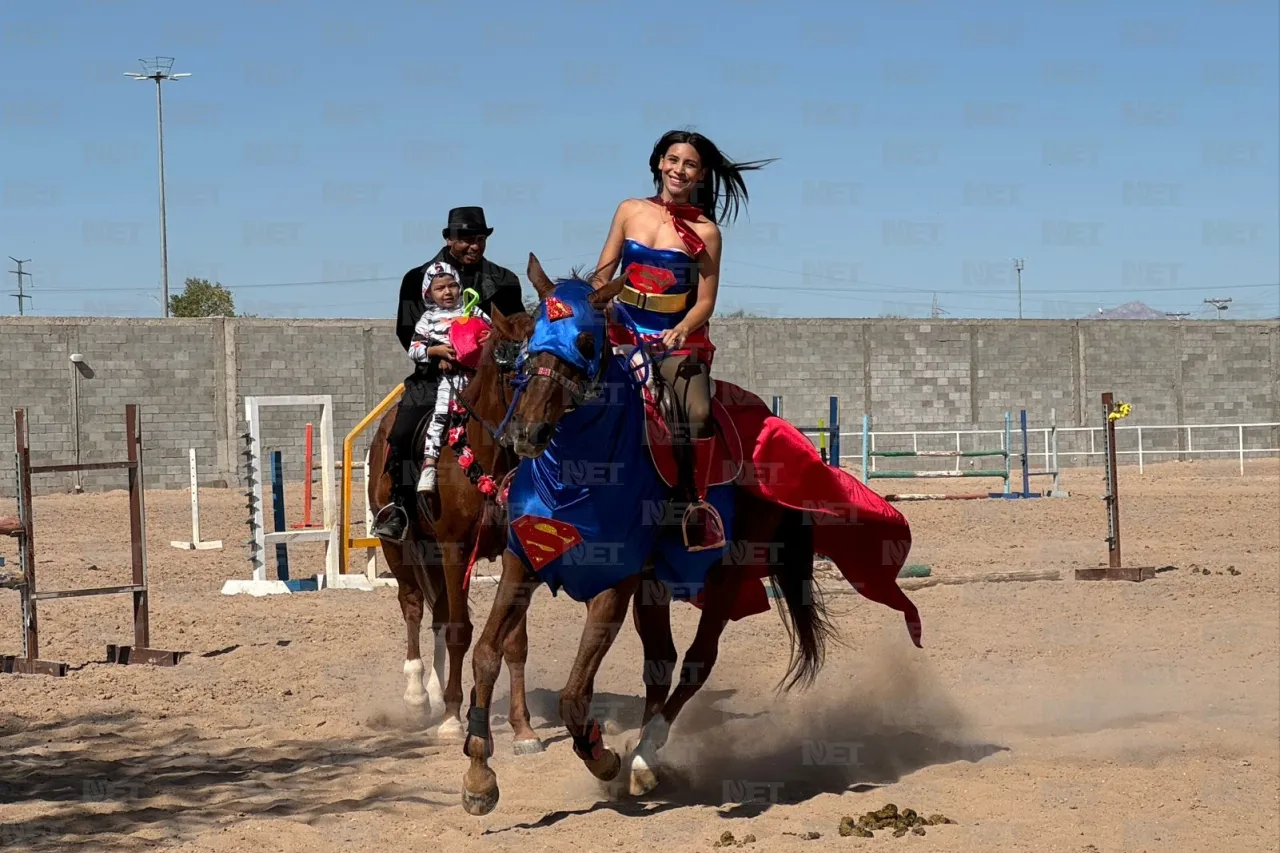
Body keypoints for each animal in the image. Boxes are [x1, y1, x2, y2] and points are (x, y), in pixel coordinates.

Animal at [366, 300, 545, 753]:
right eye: (508, 365)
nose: (530, 433)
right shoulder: (454, 550)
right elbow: (461, 632)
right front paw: (451, 718)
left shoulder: (514, 555)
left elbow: (514, 642)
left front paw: (523, 728)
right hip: (401, 548)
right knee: (414, 606)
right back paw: (417, 694)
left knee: (439, 613)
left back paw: (433, 686)